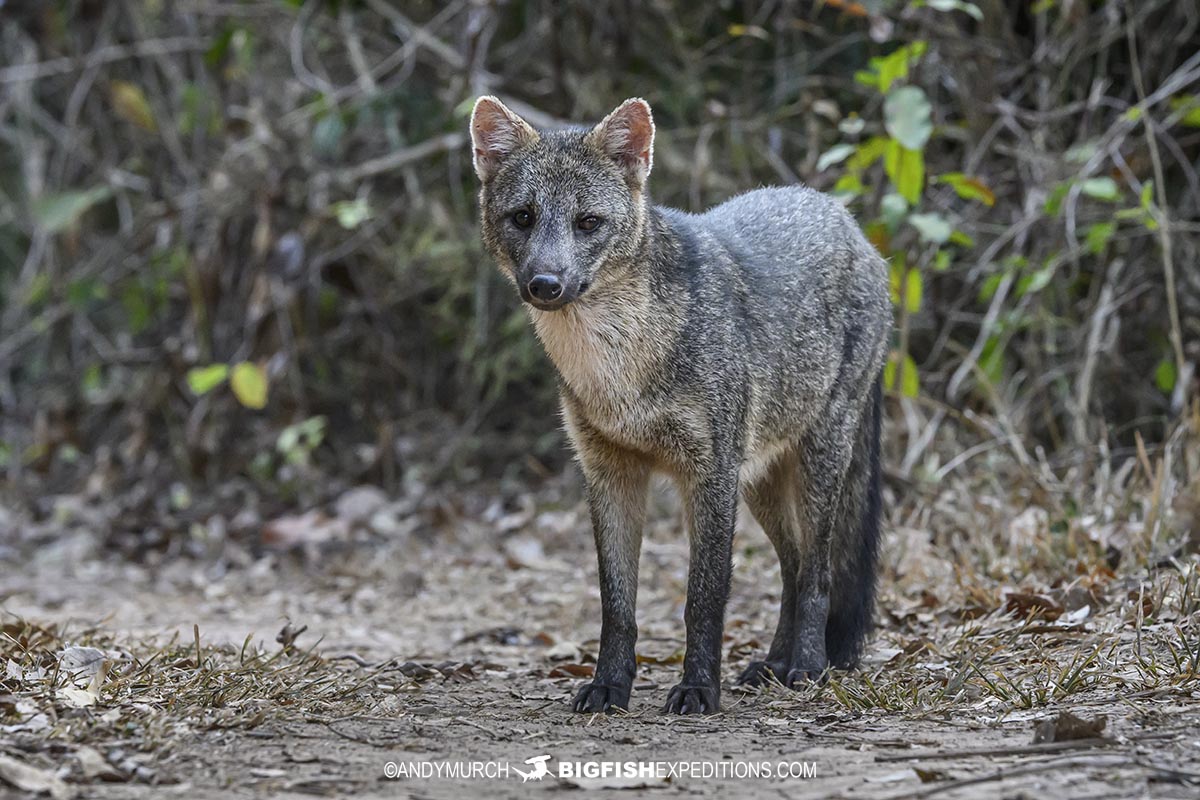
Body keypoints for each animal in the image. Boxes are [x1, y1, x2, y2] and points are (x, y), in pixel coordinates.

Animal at [469, 96, 891, 715]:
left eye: (587, 222)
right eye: (523, 217)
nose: (545, 283)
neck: (618, 369)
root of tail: (847, 220)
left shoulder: (708, 474)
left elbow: (705, 599)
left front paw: (697, 688)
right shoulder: (609, 473)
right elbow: (617, 606)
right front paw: (609, 686)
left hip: (815, 464)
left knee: (816, 575)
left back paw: (806, 667)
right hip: (759, 481)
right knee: (791, 570)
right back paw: (772, 664)